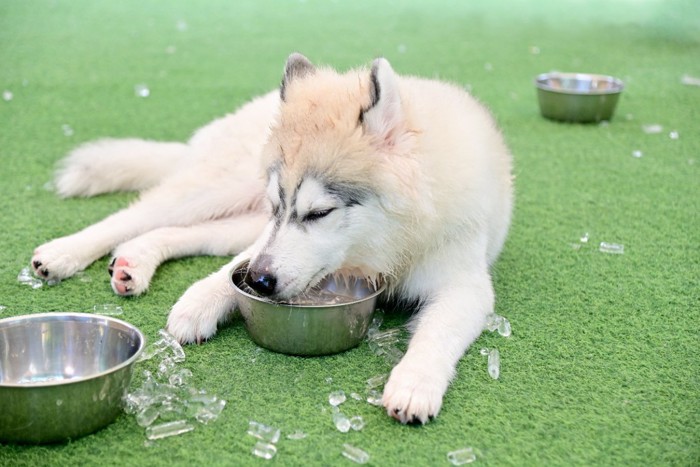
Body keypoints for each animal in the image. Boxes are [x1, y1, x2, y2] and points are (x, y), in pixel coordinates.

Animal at [31, 54, 516, 424]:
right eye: (280, 207)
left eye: (319, 213)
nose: (260, 284)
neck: (392, 245)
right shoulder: (268, 232)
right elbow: (232, 269)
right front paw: (202, 302)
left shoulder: (466, 286)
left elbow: (437, 333)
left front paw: (414, 383)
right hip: (221, 189)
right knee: (134, 215)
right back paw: (63, 253)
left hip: (237, 217)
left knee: (184, 233)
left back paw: (136, 261)